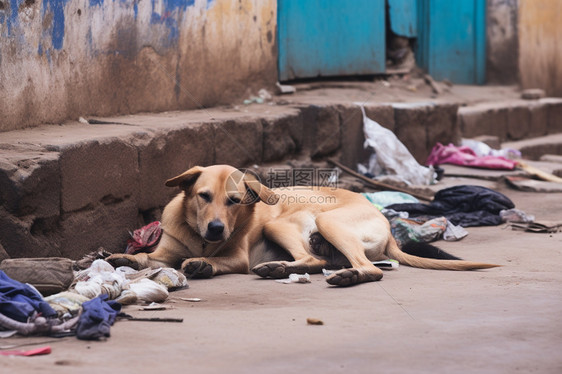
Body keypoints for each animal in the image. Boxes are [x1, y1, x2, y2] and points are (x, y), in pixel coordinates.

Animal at [107, 164, 496, 286]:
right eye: (203, 196)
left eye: (234, 201)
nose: (216, 229)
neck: (197, 236)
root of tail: (388, 229)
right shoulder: (164, 254)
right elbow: (146, 260)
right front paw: (121, 258)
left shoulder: (237, 257)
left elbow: (218, 260)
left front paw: (203, 263)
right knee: (318, 260)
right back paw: (281, 268)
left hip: (307, 222)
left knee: (345, 264)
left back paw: (341, 274)